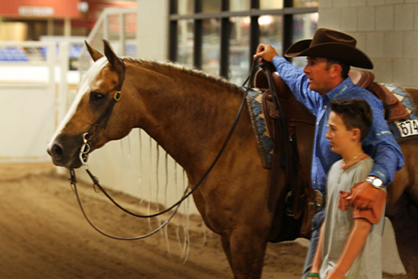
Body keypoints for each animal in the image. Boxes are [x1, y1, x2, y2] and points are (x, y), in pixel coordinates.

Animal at [47, 40, 418, 278]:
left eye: (97, 95)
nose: (57, 148)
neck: (226, 135)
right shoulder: (229, 239)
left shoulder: (247, 240)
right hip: (405, 220)